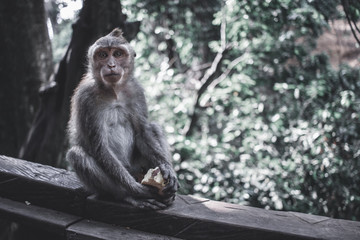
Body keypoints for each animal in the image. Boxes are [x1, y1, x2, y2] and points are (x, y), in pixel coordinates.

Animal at [66, 27, 179, 208]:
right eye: (103, 55)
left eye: (118, 54)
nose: (111, 65)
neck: (114, 91)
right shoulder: (86, 98)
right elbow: (100, 148)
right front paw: (138, 190)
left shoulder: (136, 91)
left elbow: (143, 132)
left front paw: (166, 168)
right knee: (77, 155)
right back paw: (128, 196)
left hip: (137, 167)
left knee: (154, 127)